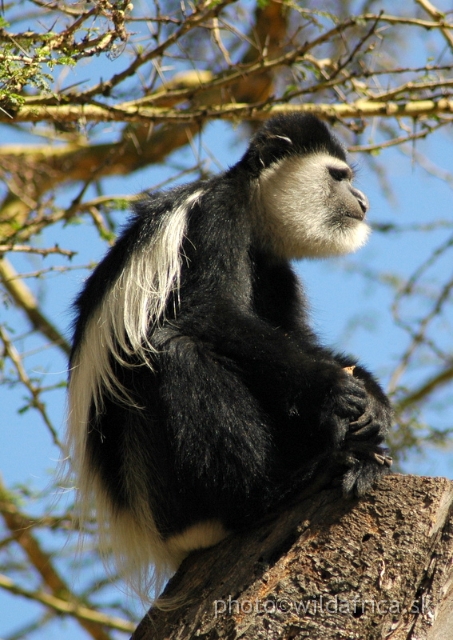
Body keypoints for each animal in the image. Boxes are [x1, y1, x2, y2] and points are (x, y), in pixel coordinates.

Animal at [68, 114, 392, 592]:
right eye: (339, 176)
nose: (363, 201)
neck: (252, 207)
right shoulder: (218, 215)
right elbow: (211, 310)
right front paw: (334, 387)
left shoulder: (275, 266)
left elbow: (297, 336)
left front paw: (375, 400)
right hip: (158, 484)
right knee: (178, 353)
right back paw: (273, 494)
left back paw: (358, 457)